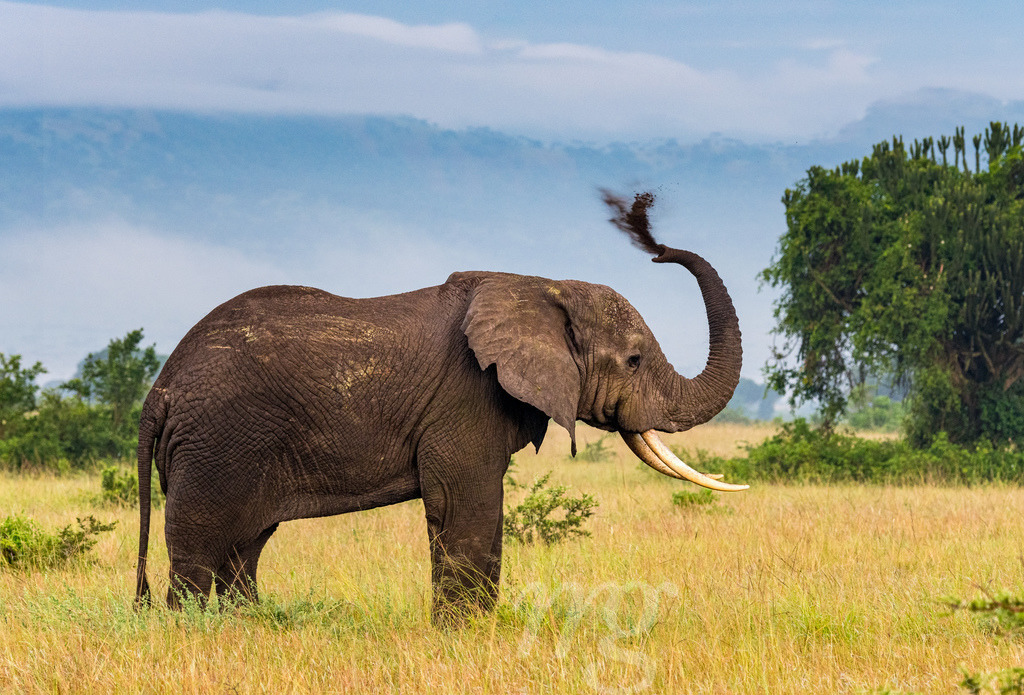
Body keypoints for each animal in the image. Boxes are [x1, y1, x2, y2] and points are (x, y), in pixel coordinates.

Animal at [135, 192, 745, 623]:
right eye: (635, 360)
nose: (657, 247)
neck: (540, 285)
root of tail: (159, 391)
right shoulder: (466, 398)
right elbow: (465, 504)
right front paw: (465, 634)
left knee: (245, 548)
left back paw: (248, 626)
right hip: (215, 445)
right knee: (198, 552)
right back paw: (189, 631)